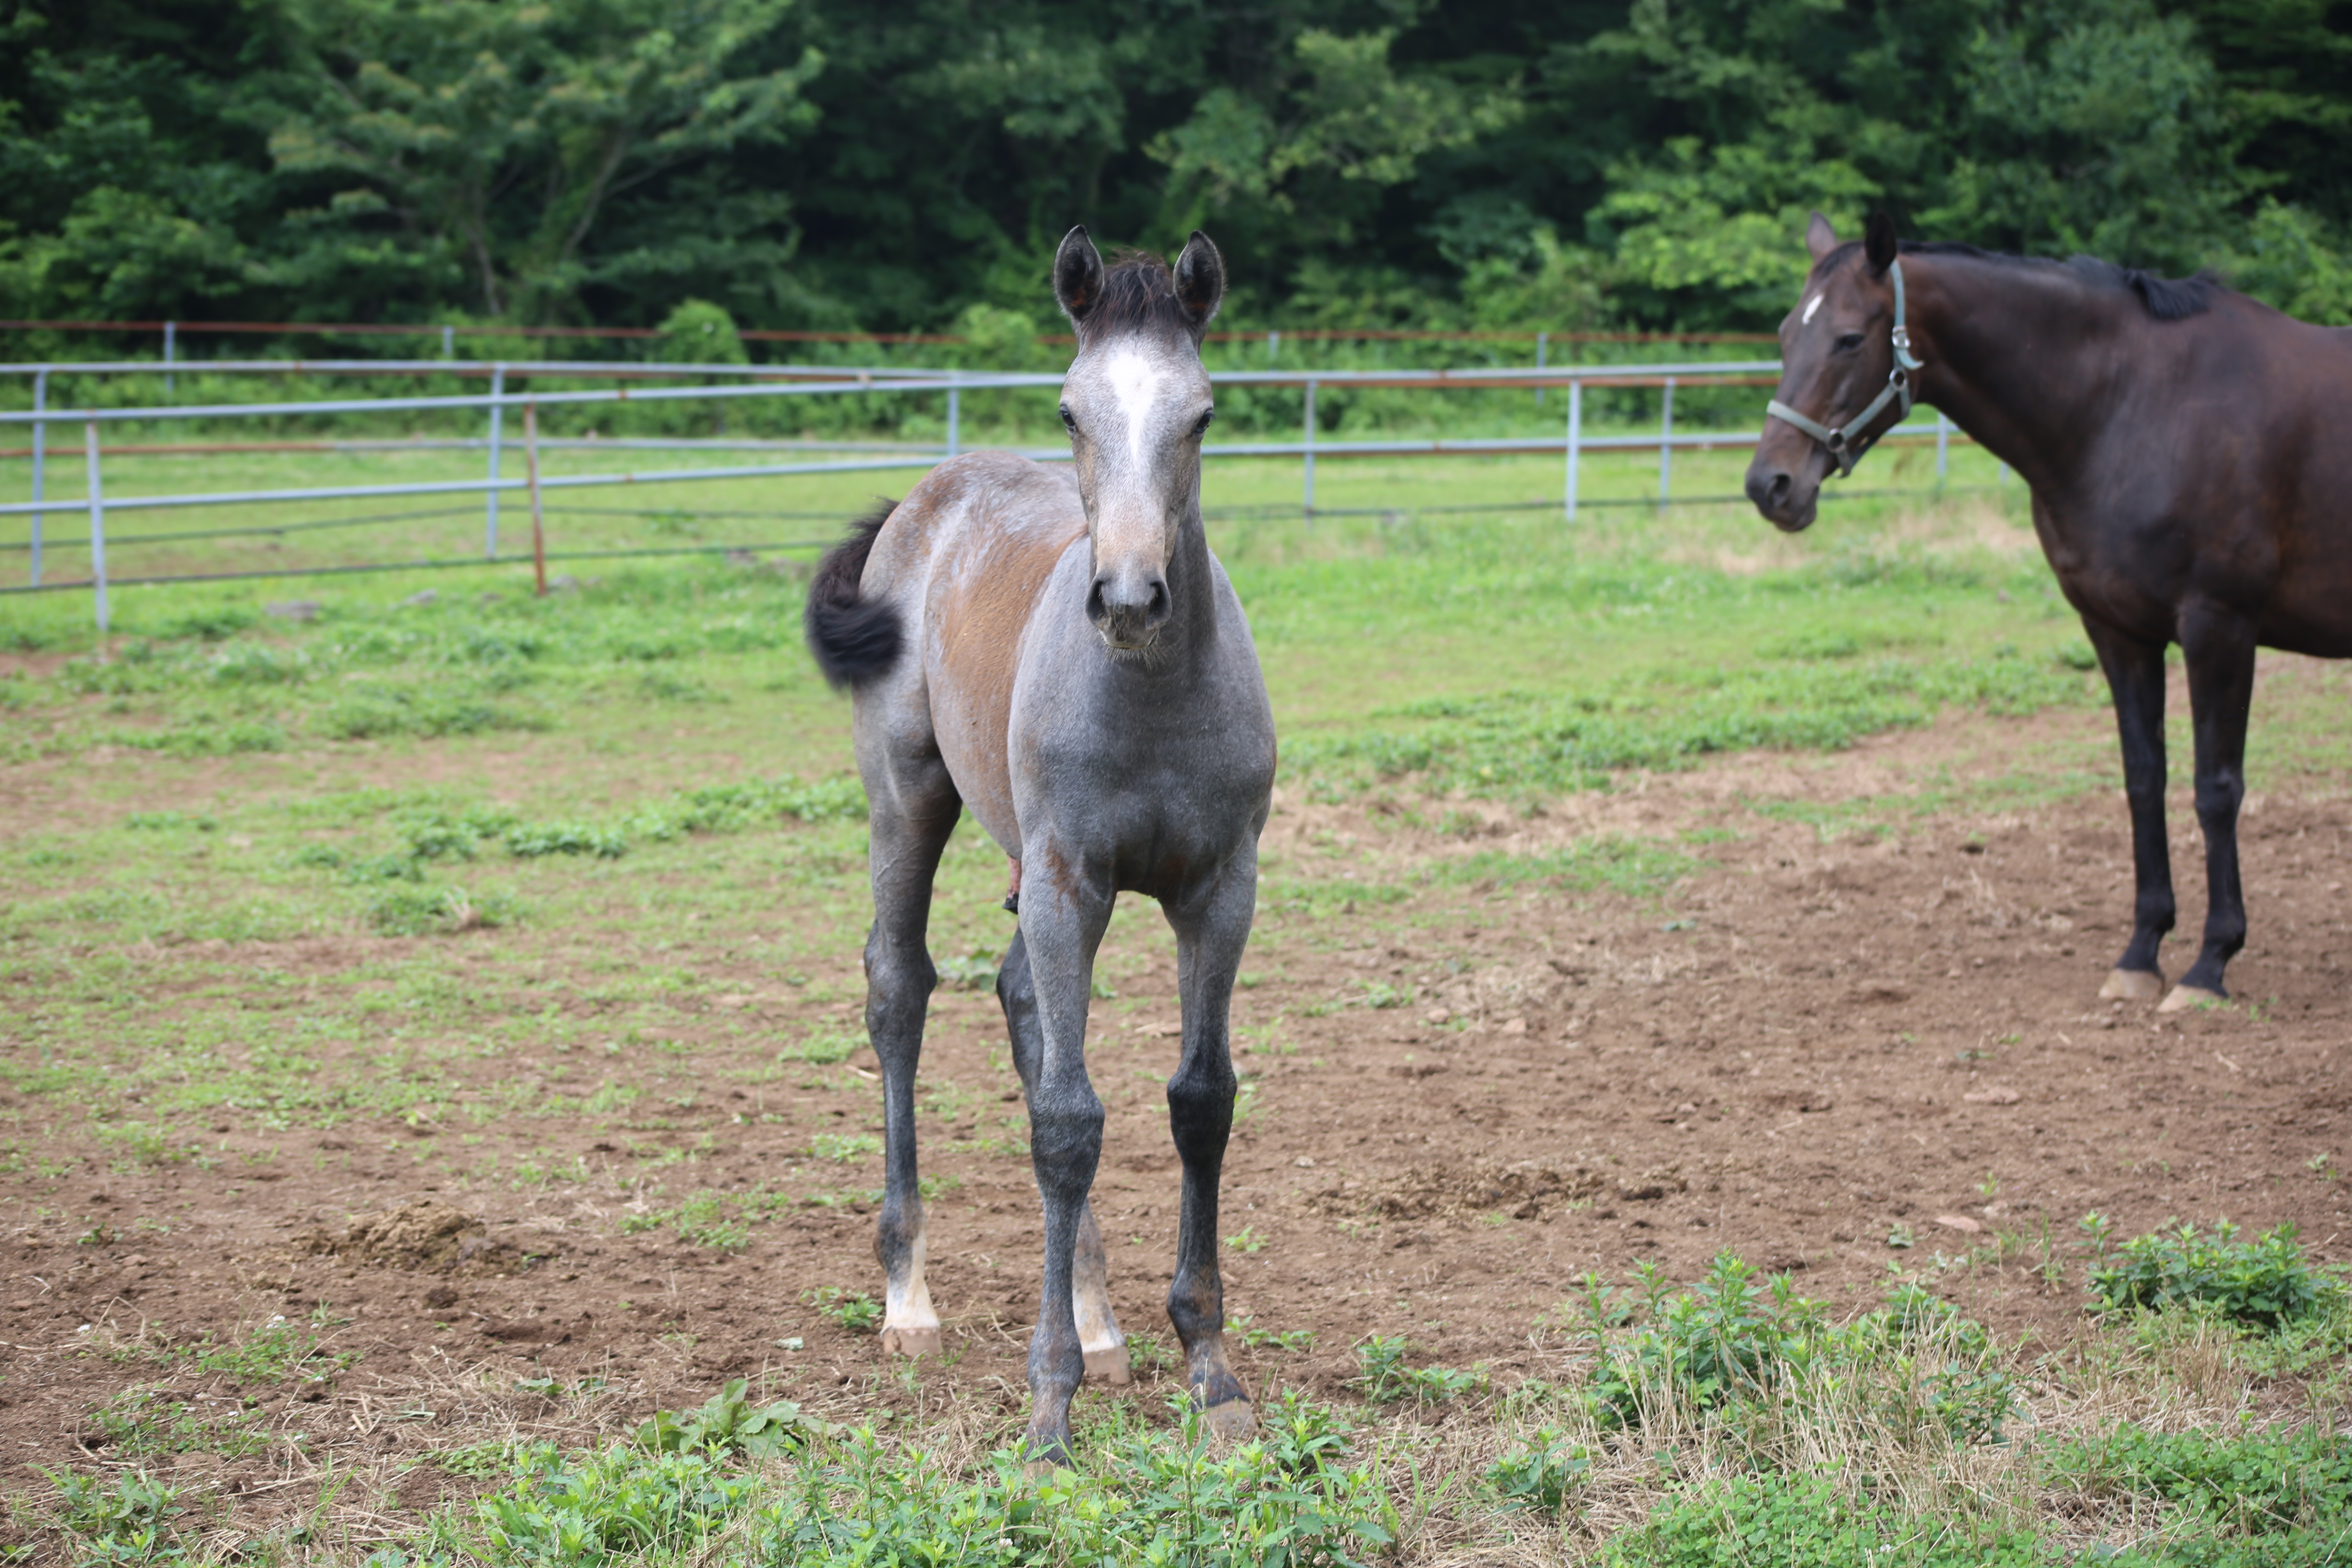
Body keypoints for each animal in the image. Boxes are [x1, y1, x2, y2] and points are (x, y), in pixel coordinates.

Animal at [813, 227, 1289, 1467]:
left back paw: (1101, 1319)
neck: (1149, 695)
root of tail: (922, 499)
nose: (1126, 597)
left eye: (1201, 414)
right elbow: (1067, 1122)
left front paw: (1209, 1372)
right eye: (1071, 411)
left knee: (1018, 994)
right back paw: (910, 1302)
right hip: (911, 797)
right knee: (899, 986)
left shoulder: (1219, 887)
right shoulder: (1075, 881)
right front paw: (1047, 1410)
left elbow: (1200, 1100)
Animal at [1750, 215, 2352, 1011]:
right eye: (1788, 333)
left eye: (1850, 338)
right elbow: (2144, 780)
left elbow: (2216, 789)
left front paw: (2209, 964)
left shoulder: (2219, 627)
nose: (1771, 485)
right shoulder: (2118, 631)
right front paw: (2141, 954)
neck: (2132, 406)